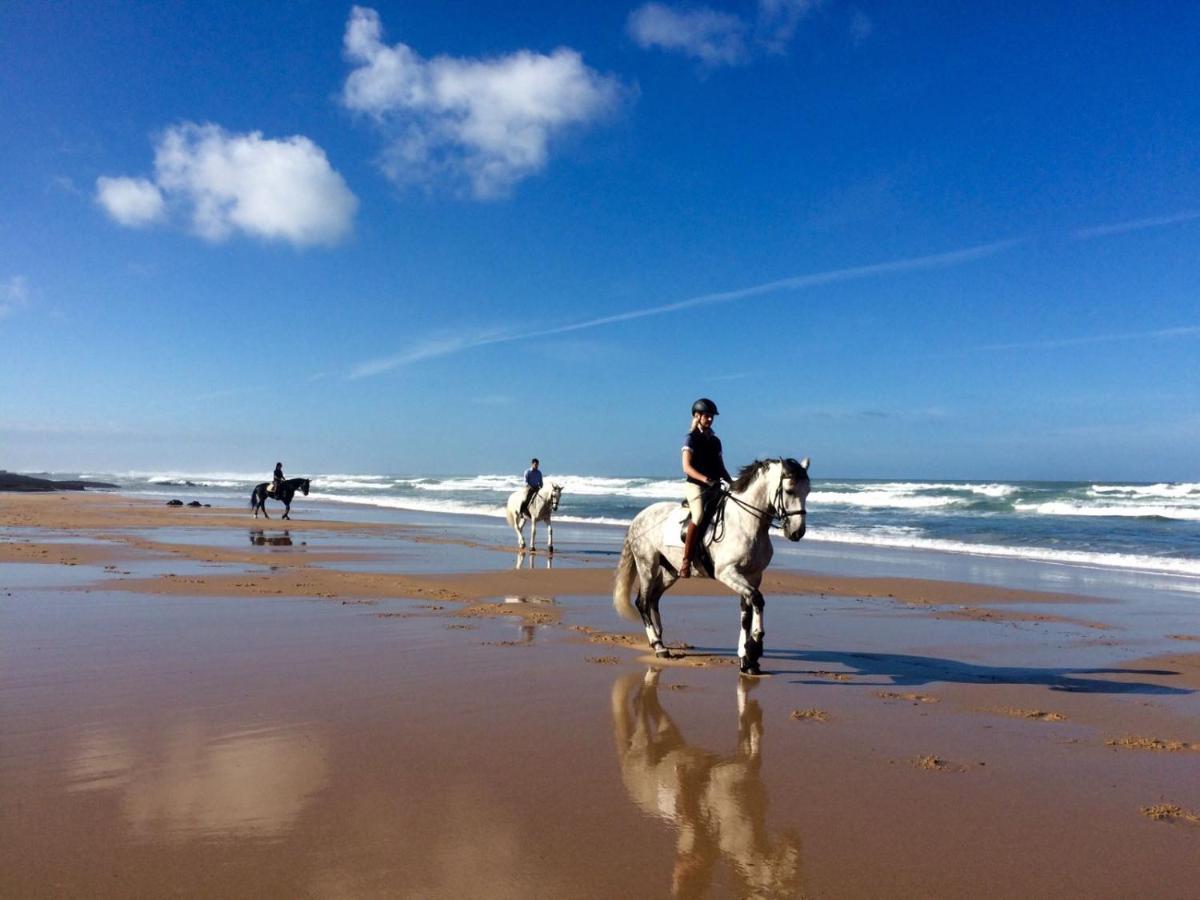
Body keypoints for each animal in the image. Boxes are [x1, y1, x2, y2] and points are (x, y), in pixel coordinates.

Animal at [614, 458, 811, 676]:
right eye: (789, 490)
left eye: (808, 491)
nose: (797, 532)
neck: (746, 523)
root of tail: (638, 517)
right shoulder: (728, 572)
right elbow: (757, 600)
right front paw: (754, 647)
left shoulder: (753, 575)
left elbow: (746, 612)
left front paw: (746, 660)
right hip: (647, 564)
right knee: (642, 601)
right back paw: (658, 646)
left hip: (670, 572)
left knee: (653, 599)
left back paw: (658, 638)